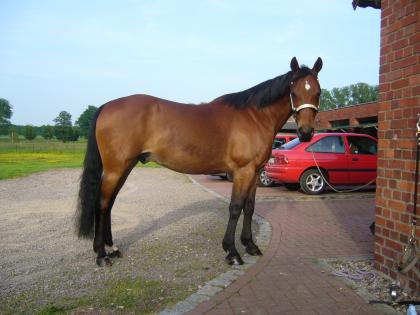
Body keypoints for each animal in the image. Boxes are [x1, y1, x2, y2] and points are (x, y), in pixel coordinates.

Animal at [77, 56, 324, 266]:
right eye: (293, 90)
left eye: (318, 92)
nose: (305, 133)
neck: (254, 117)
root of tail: (107, 106)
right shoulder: (242, 172)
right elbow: (235, 208)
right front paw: (232, 252)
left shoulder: (254, 172)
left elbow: (250, 207)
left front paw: (250, 246)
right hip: (115, 169)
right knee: (102, 204)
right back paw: (101, 255)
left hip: (125, 167)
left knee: (109, 204)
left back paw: (112, 248)